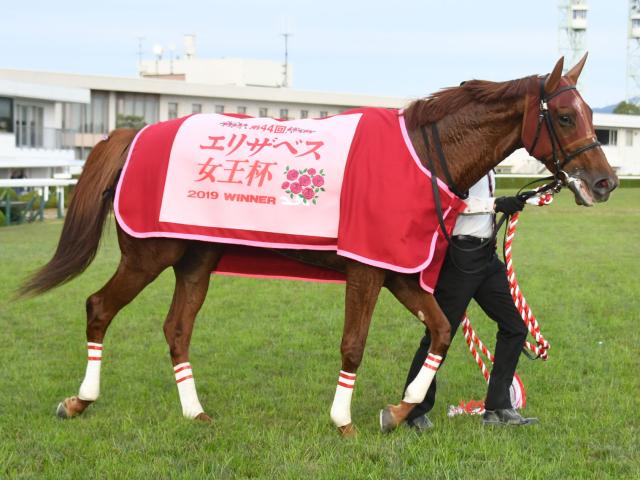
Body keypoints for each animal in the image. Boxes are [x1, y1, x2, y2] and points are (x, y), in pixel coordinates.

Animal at [22, 55, 616, 436]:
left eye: (593, 117)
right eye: (566, 116)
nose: (606, 182)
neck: (424, 155)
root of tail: (132, 136)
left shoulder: (399, 271)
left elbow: (443, 330)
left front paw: (401, 411)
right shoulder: (366, 269)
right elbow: (354, 343)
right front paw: (344, 420)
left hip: (197, 259)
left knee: (177, 329)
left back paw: (195, 413)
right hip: (149, 254)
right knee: (99, 307)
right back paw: (79, 401)